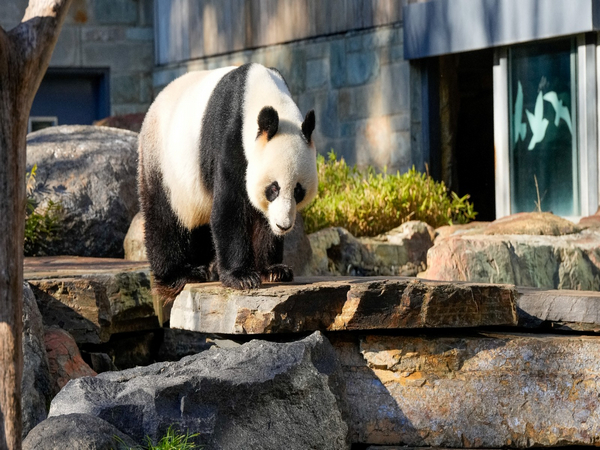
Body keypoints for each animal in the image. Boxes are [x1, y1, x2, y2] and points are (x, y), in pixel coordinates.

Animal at [139, 61, 318, 298]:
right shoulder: (231, 137)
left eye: (298, 190)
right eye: (273, 189)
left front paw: (273, 270)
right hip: (163, 163)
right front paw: (241, 277)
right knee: (164, 217)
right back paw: (179, 274)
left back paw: (207, 267)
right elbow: (230, 206)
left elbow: (262, 218)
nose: (283, 225)